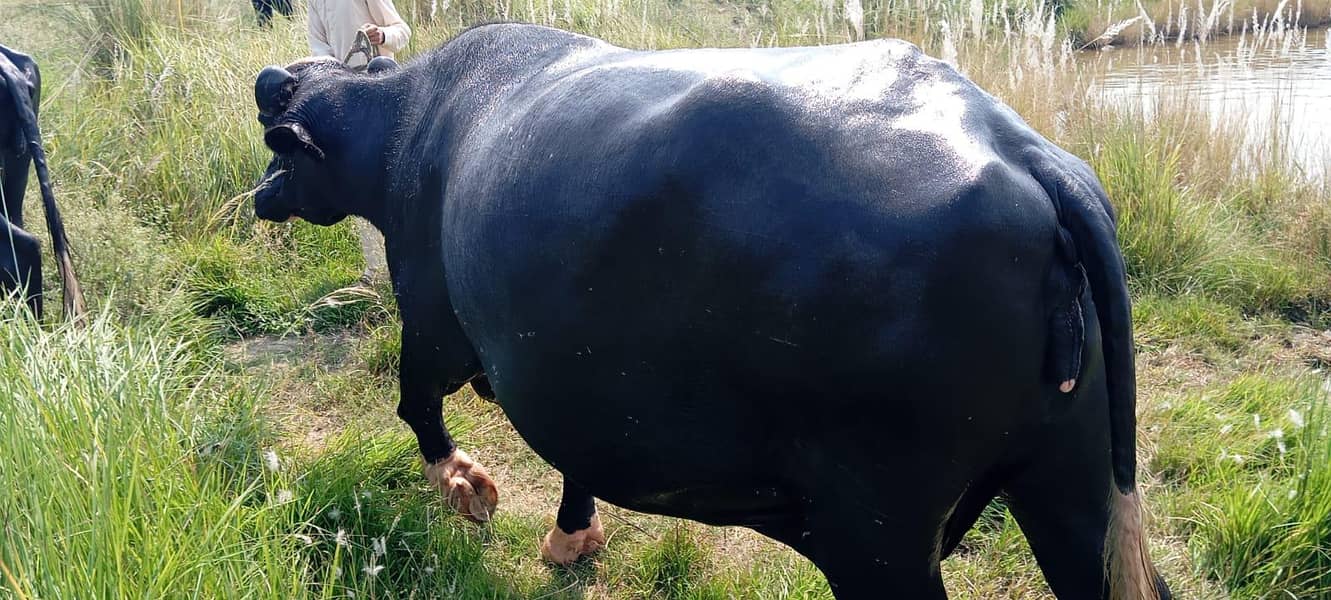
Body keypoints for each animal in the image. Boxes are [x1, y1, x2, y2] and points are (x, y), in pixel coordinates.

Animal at [250, 25, 1171, 599]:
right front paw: (570, 536)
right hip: (1073, 482)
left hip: (878, 535)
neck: (413, 124)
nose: (271, 77)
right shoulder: (576, 376)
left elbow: (415, 404)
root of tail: (1026, 154)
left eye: (278, 131)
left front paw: (466, 486)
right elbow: (573, 460)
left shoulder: (435, 323)